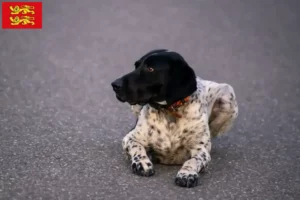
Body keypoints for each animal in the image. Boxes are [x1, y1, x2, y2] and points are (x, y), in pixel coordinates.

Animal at [110, 48, 239, 188]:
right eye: (136, 66)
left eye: (150, 69)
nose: (115, 85)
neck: (170, 111)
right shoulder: (130, 138)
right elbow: (137, 147)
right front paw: (142, 162)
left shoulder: (201, 150)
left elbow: (193, 160)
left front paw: (187, 173)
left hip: (227, 95)